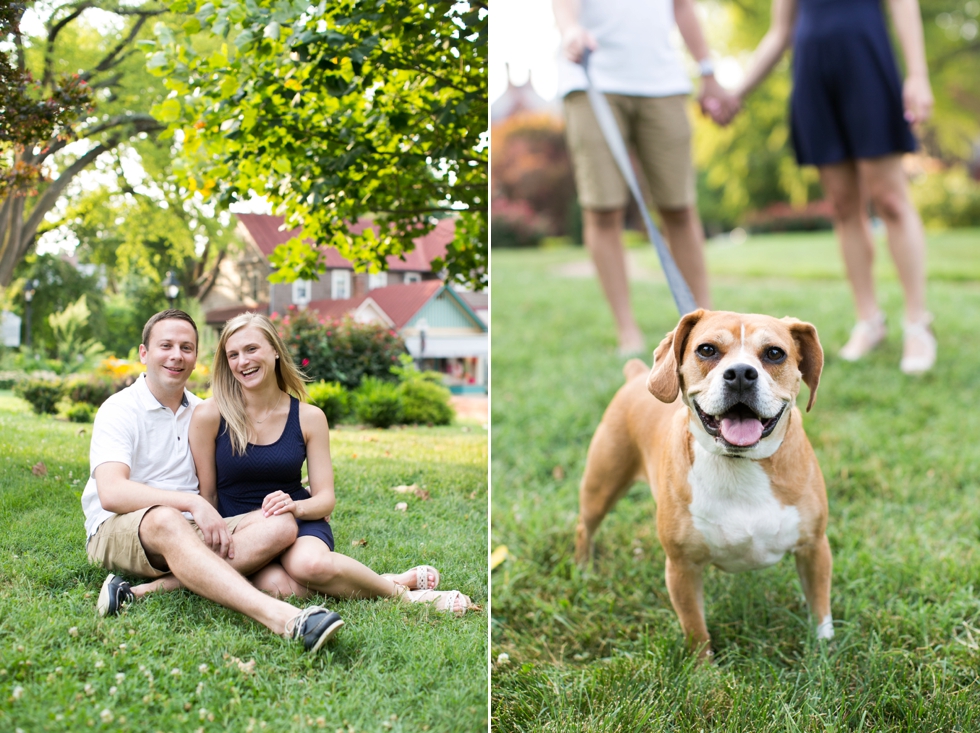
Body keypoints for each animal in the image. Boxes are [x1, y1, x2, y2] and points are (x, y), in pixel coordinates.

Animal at [576, 308, 836, 656]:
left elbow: (820, 605)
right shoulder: (681, 567)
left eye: (774, 353)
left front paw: (825, 649)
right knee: (584, 526)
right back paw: (582, 569)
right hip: (601, 486)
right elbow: (695, 628)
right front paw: (703, 667)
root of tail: (635, 376)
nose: (740, 373)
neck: (738, 463)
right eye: (707, 350)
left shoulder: (814, 547)